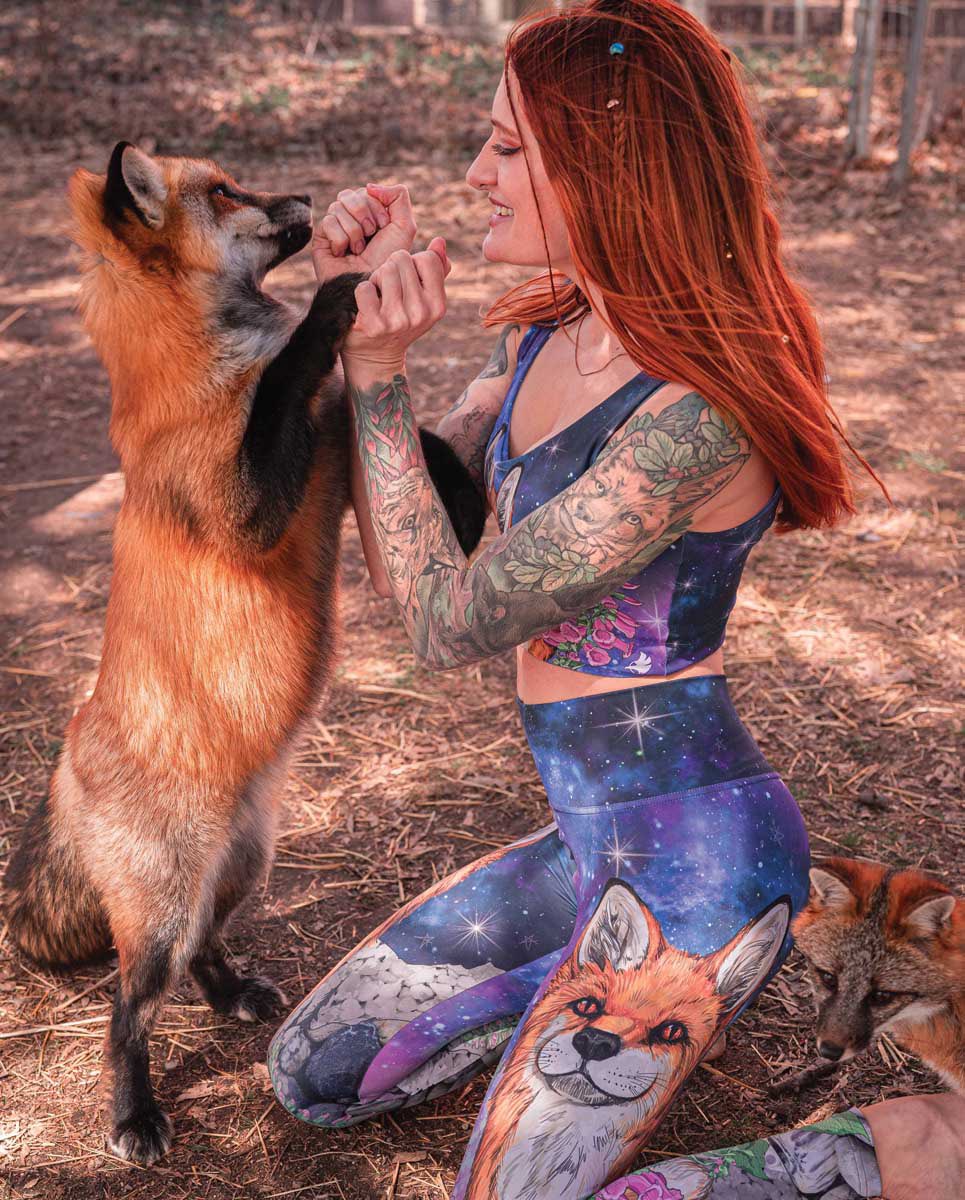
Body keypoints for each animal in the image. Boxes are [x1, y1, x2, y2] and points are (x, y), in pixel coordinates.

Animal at [3, 141, 485, 1166]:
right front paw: (334, 301)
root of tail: (71, 753)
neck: (207, 380)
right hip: (161, 913)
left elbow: (420, 451)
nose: (305, 193)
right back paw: (134, 1114)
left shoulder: (340, 450)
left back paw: (231, 994)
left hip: (237, 873)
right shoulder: (245, 504)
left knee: (199, 956)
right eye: (225, 191)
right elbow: (296, 374)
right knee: (128, 1011)